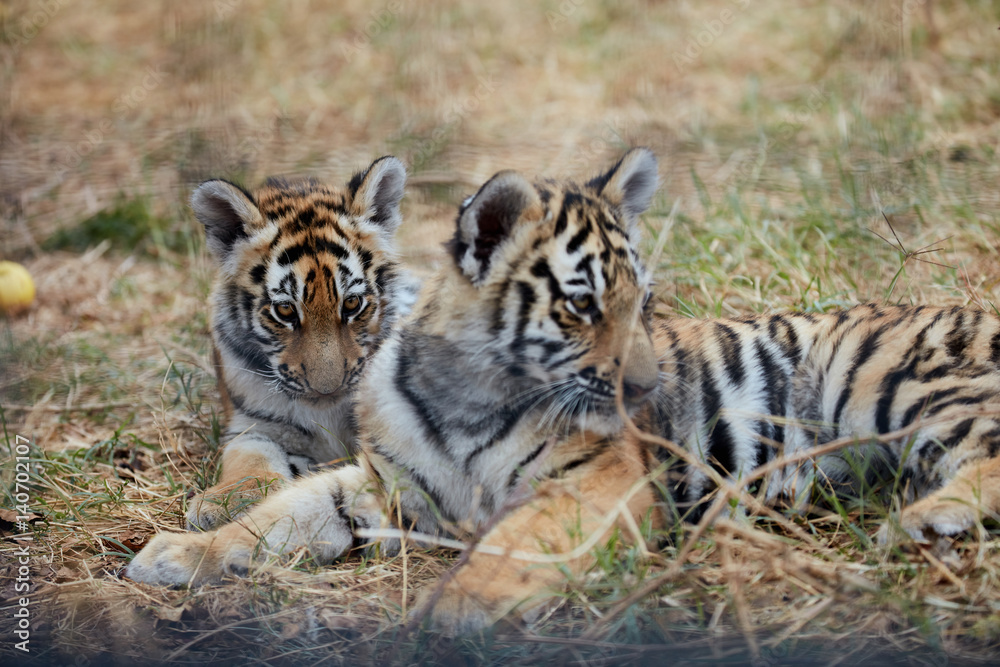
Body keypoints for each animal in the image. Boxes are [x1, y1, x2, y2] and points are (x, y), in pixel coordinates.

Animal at [185, 155, 418, 531]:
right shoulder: (253, 425)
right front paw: (226, 501)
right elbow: (248, 458)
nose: (327, 388)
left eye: (352, 304)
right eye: (284, 310)